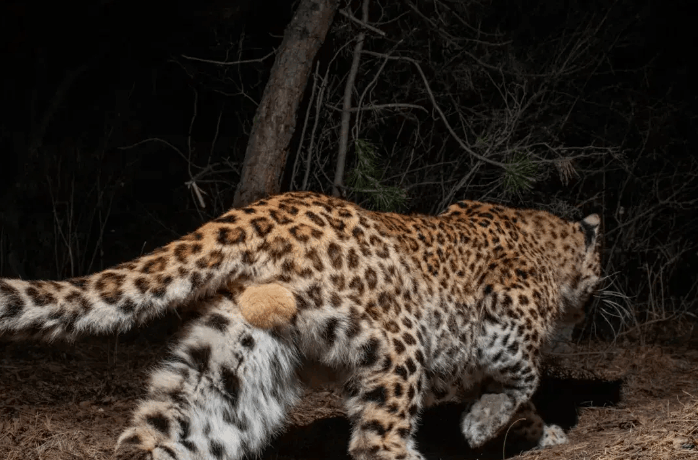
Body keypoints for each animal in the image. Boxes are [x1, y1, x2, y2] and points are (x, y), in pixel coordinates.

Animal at [0, 190, 600, 460]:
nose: (595, 303)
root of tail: (260, 210)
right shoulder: (506, 325)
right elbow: (523, 380)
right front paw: (481, 427)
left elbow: (524, 401)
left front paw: (540, 432)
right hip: (396, 345)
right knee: (375, 442)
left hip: (227, 358)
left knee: (158, 432)